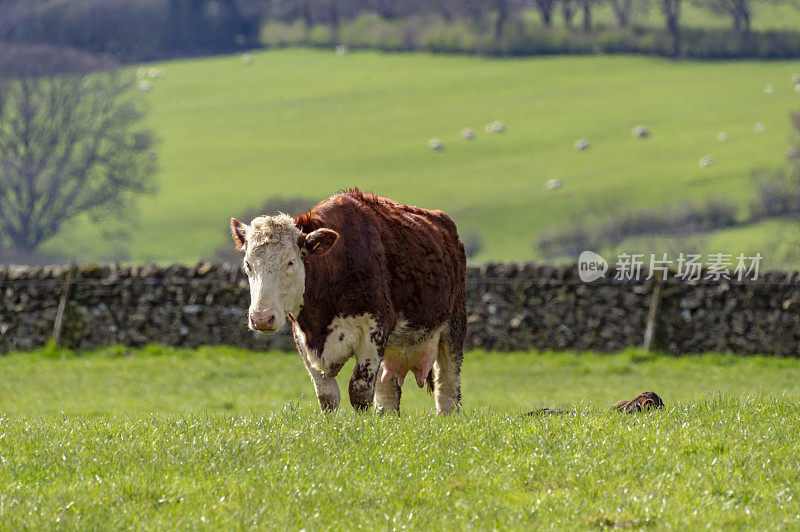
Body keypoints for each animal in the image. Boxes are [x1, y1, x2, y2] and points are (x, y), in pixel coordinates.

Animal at [231, 189, 466, 414]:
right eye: (248, 264)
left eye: (290, 262)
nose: (262, 318)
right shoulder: (302, 338)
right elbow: (327, 396)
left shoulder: (374, 332)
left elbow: (360, 392)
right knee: (388, 395)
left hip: (454, 328)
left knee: (447, 390)